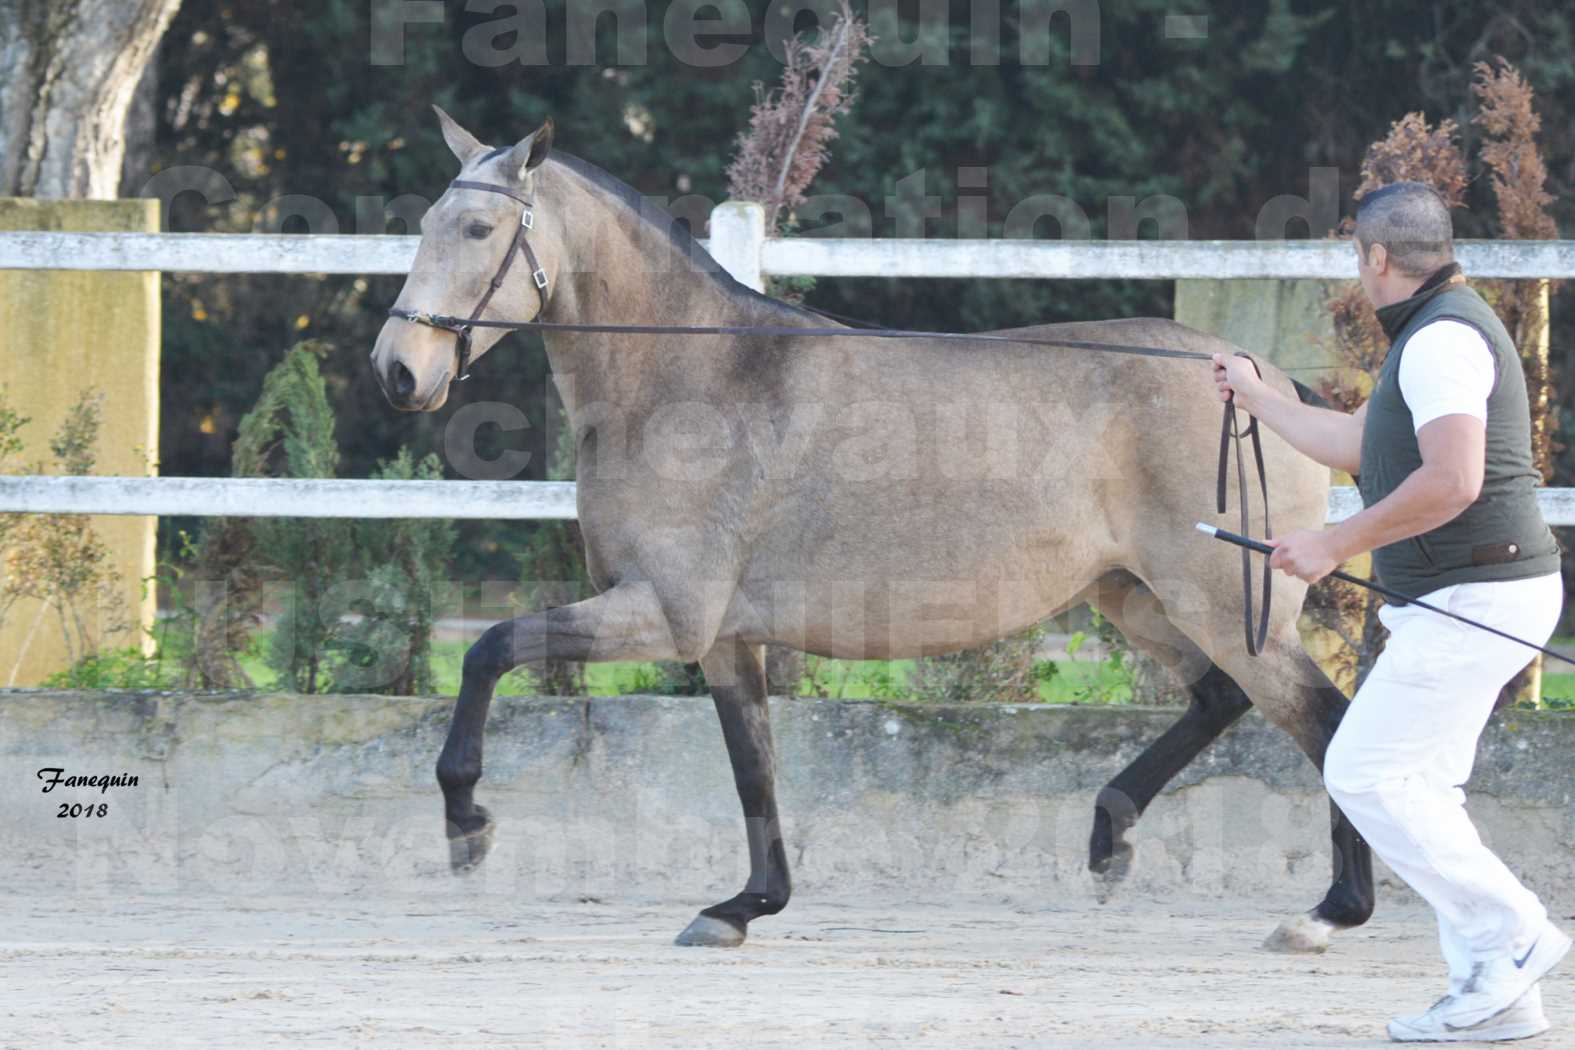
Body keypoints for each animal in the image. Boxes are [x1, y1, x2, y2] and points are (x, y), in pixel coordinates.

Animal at [368, 110, 1367, 957]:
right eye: (428, 222)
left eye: (478, 231)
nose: (397, 371)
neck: (689, 380)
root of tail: (1265, 382)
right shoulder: (723, 638)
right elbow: (754, 771)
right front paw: (744, 907)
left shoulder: (664, 613)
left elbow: (489, 650)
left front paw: (466, 824)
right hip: (1138, 598)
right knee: (1221, 699)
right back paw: (1109, 837)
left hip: (1221, 601)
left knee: (1324, 721)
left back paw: (1327, 913)